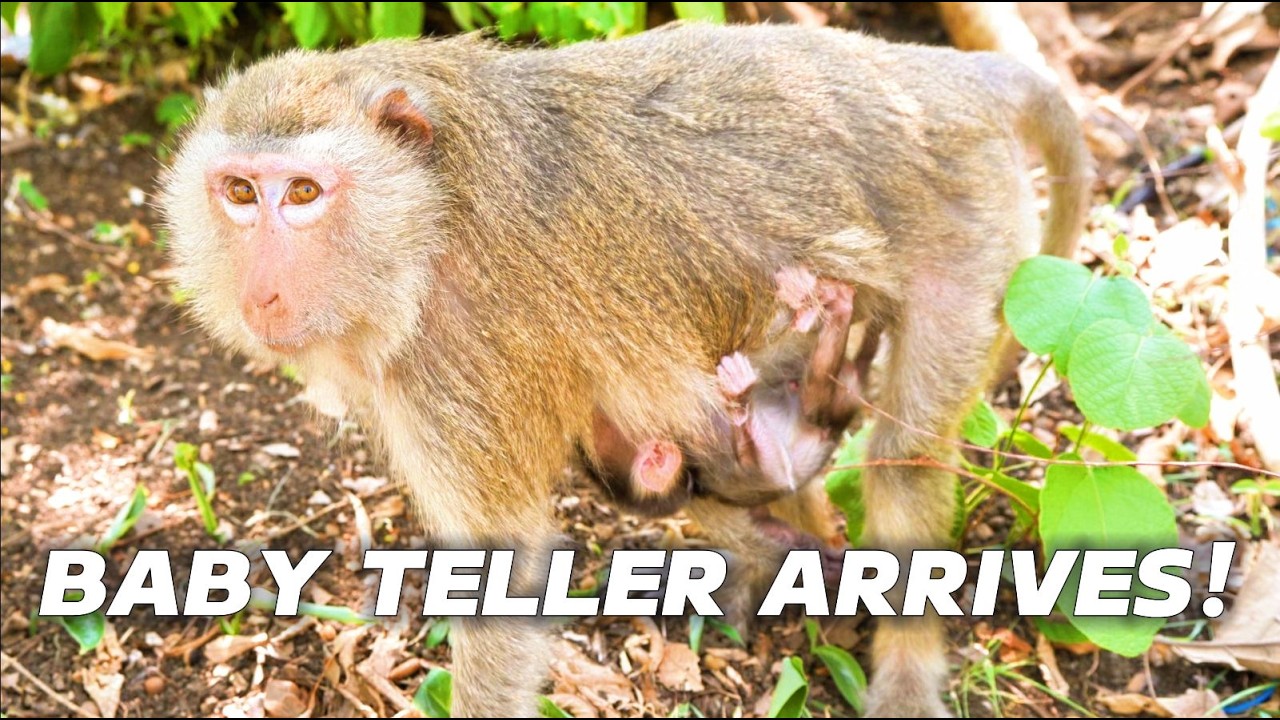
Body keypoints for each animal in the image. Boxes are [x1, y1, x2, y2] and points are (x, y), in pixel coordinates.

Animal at [160, 23, 1089, 718]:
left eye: (303, 193)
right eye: (239, 193)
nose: (263, 292)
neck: (428, 213)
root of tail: (938, 74)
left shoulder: (456, 353)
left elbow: (507, 566)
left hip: (970, 233)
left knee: (900, 461)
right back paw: (789, 546)